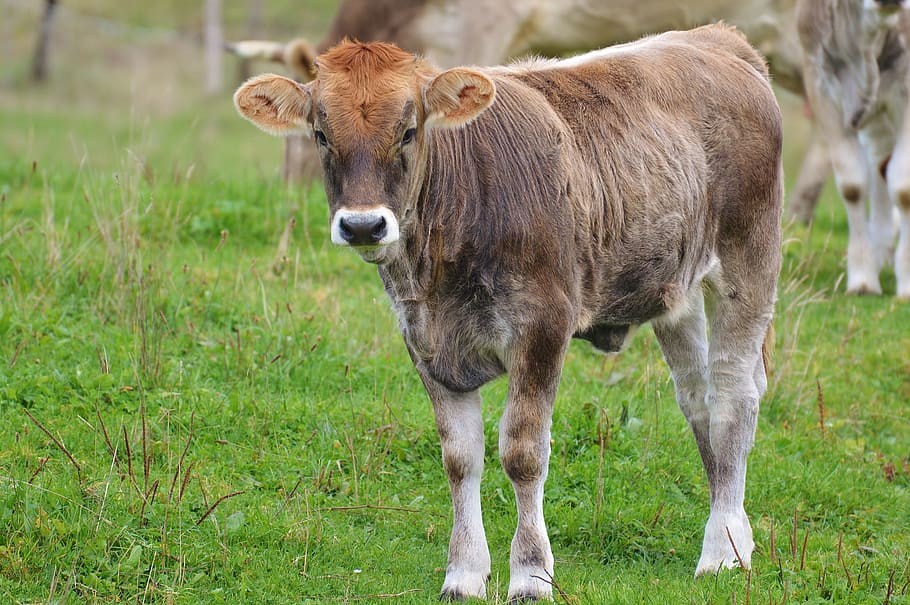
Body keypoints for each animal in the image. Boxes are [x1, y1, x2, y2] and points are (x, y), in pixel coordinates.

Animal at [233, 25, 783, 601]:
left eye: (409, 131)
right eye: (321, 134)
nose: (364, 225)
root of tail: (716, 36)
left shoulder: (543, 327)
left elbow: (522, 453)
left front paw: (532, 574)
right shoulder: (423, 341)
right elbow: (459, 457)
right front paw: (463, 573)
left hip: (749, 261)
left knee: (734, 396)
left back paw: (721, 550)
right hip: (674, 293)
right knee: (698, 398)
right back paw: (736, 535)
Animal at [798, 0, 910, 296]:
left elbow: (903, 187)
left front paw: (906, 282)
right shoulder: (819, 83)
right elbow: (853, 185)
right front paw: (863, 279)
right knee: (880, 161)